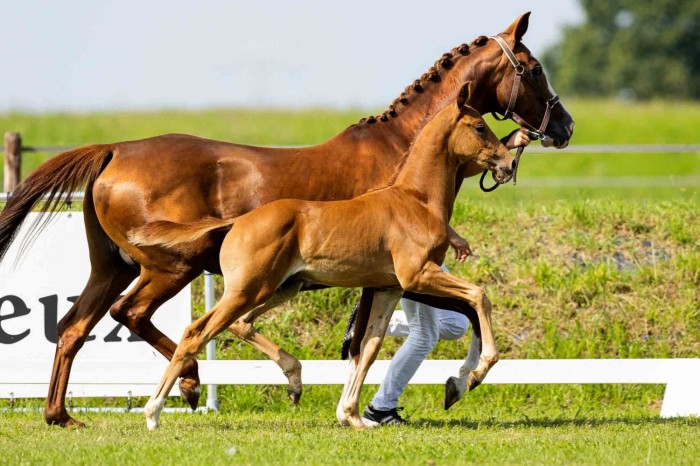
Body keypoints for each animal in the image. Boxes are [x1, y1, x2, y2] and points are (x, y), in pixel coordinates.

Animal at [131, 84, 515, 430]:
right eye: (479, 126)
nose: (509, 163)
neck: (416, 201)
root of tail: (238, 221)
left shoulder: (389, 288)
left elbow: (369, 346)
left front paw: (352, 416)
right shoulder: (419, 274)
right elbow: (479, 296)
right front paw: (473, 375)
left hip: (282, 288)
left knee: (241, 324)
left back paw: (295, 381)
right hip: (247, 290)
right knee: (196, 332)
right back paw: (153, 413)